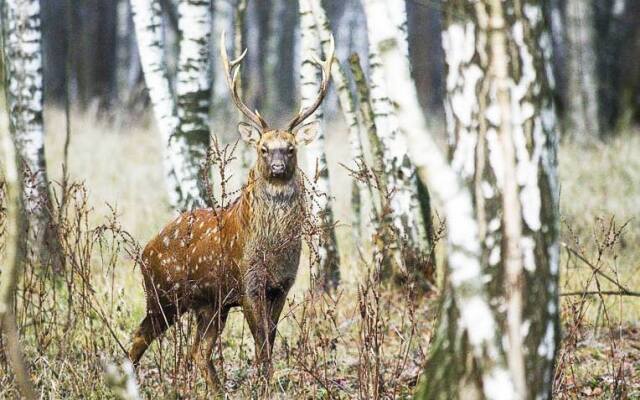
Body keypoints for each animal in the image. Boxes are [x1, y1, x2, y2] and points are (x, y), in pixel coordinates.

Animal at [127, 31, 332, 394]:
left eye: (290, 148)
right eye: (263, 148)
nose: (277, 167)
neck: (271, 251)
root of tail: (145, 250)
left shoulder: (281, 286)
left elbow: (270, 340)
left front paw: (263, 385)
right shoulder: (248, 282)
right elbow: (261, 343)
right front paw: (262, 387)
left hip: (210, 305)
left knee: (198, 350)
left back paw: (217, 390)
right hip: (161, 294)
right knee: (138, 339)